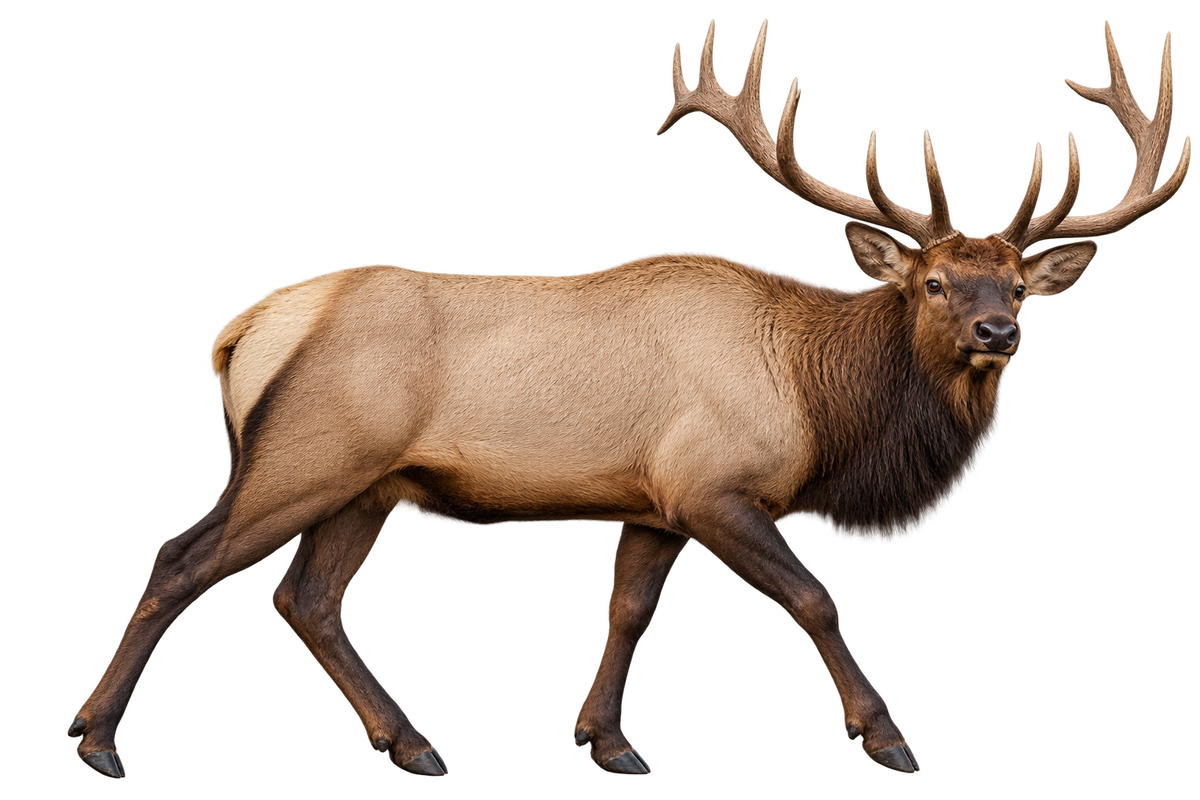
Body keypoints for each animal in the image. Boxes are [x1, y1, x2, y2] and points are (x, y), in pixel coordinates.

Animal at [63, 14, 1192, 782]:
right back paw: (96, 737)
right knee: (181, 556)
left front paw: (607, 741)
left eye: (1018, 287)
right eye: (934, 283)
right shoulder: (713, 486)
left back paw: (412, 741)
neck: (819, 401)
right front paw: (887, 736)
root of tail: (242, 328)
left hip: (368, 489)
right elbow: (814, 595)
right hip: (305, 452)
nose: (999, 334)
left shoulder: (651, 505)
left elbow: (629, 614)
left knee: (306, 597)